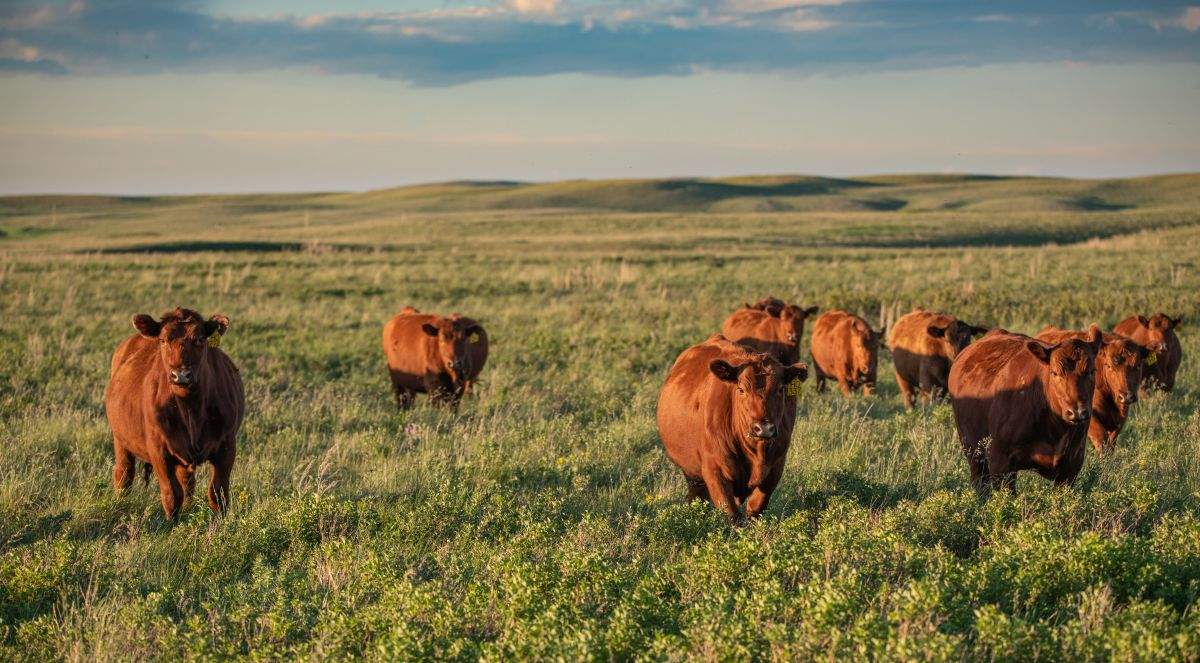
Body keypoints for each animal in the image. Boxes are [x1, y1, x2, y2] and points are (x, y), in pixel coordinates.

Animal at [105, 308, 244, 519]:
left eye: (200, 339)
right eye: (163, 340)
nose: (181, 375)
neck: (191, 409)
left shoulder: (227, 447)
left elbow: (217, 493)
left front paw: (220, 522)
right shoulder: (159, 450)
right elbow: (171, 494)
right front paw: (171, 523)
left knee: (187, 481)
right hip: (120, 439)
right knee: (124, 473)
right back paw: (120, 503)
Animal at [656, 334, 808, 524]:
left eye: (780, 389)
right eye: (741, 390)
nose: (763, 428)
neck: (756, 454)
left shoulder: (776, 467)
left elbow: (756, 507)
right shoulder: (715, 472)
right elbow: (732, 515)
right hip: (691, 472)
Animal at [948, 326, 1102, 493]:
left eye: (1092, 371)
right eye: (1054, 372)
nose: (1076, 411)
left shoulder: (1071, 467)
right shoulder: (999, 461)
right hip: (973, 452)